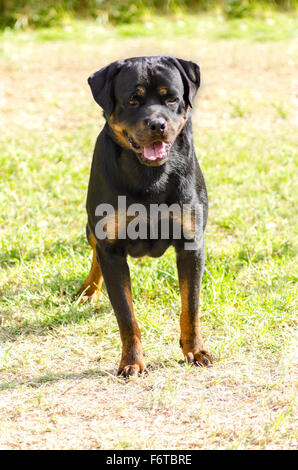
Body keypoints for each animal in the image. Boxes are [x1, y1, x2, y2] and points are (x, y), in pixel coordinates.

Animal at [76, 56, 212, 378]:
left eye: (171, 98)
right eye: (132, 100)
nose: (157, 124)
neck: (150, 176)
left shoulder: (191, 243)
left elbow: (191, 306)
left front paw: (194, 350)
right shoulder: (111, 248)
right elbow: (126, 316)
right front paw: (132, 361)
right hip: (91, 228)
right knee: (94, 255)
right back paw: (88, 291)